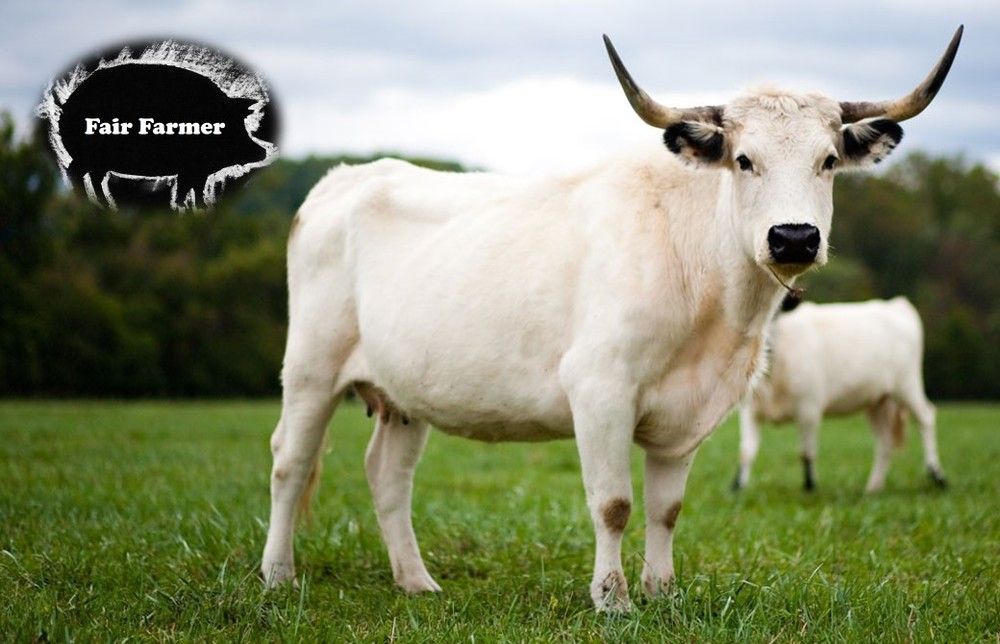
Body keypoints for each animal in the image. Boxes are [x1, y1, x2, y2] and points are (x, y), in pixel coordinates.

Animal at [733, 296, 947, 494]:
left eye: (775, 315)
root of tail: (896, 304)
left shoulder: (809, 408)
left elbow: (806, 452)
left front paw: (810, 486)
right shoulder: (750, 410)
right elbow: (746, 451)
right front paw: (737, 486)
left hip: (907, 385)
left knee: (925, 417)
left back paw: (936, 474)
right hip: (877, 401)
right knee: (884, 442)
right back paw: (873, 487)